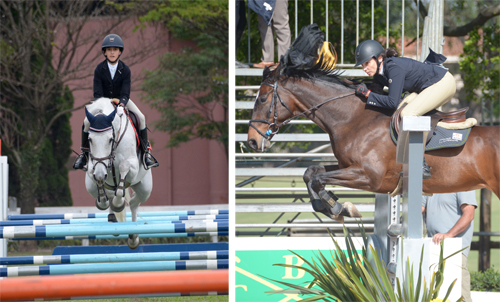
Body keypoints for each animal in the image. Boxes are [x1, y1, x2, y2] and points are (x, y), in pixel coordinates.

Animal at [84, 98, 152, 249]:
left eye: (110, 139)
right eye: (89, 139)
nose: (100, 173)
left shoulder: (132, 165)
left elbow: (123, 167)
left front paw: (118, 203)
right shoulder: (94, 167)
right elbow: (97, 177)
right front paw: (104, 200)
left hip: (145, 188)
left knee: (133, 203)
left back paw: (133, 236)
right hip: (90, 187)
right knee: (109, 195)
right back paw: (111, 216)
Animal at [246, 62, 500, 222]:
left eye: (263, 98)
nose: (252, 141)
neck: (353, 118)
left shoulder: (370, 177)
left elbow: (318, 179)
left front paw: (340, 208)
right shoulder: (347, 166)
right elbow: (311, 173)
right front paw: (333, 207)